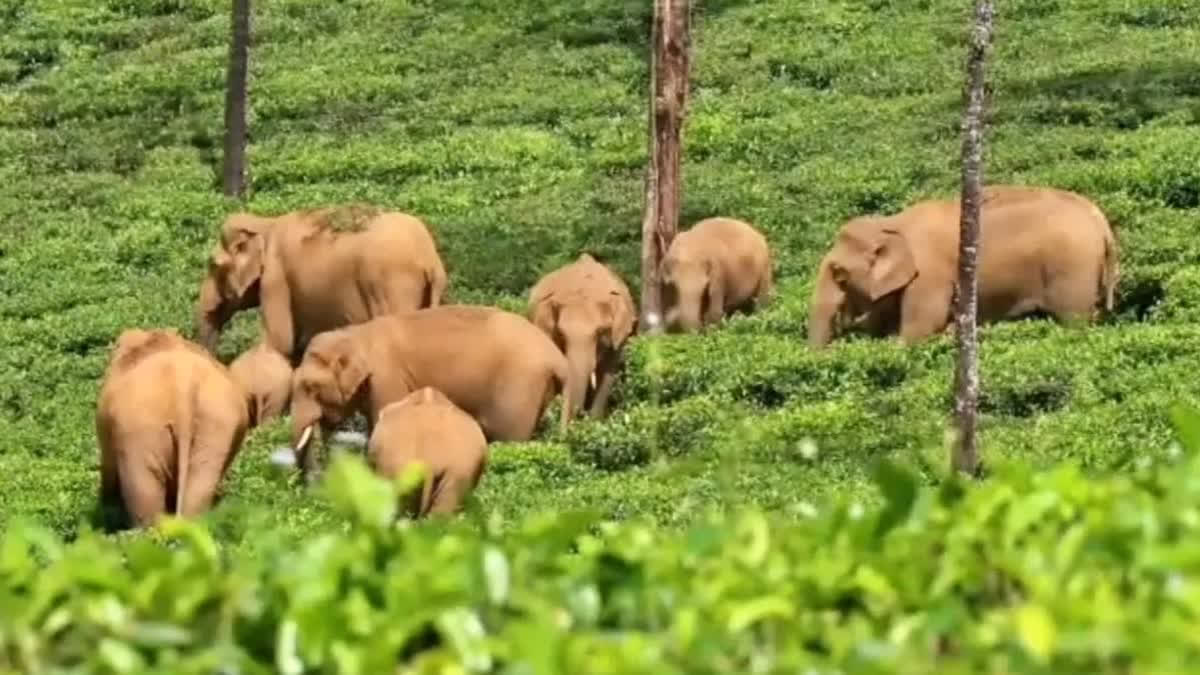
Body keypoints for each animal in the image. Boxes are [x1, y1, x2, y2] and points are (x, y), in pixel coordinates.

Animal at [194, 204, 448, 362]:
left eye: (212, 265)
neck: (265, 223)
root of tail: (429, 259)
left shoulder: (276, 278)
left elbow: (280, 341)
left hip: (390, 286)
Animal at [288, 305, 572, 481]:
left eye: (310, 387)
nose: (312, 482)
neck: (356, 335)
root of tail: (558, 359)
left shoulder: (387, 378)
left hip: (519, 388)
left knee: (509, 437)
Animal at [527, 253, 638, 418]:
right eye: (561, 333)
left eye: (600, 331)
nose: (579, 416)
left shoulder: (617, 339)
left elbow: (607, 374)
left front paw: (593, 421)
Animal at [807, 184, 1120, 347]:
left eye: (839, 274)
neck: (891, 223)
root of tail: (1101, 222)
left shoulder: (930, 275)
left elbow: (920, 327)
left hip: (1072, 269)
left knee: (1074, 320)